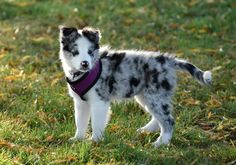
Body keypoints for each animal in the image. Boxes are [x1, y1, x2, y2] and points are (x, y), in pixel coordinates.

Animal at [59, 26, 212, 148]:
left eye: (90, 52)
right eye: (75, 52)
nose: (85, 64)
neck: (81, 74)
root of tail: (169, 60)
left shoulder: (99, 101)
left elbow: (96, 123)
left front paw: (95, 141)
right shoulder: (80, 102)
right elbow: (80, 121)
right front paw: (78, 139)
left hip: (155, 96)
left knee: (168, 120)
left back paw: (160, 143)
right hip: (146, 96)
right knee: (158, 118)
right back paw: (146, 131)